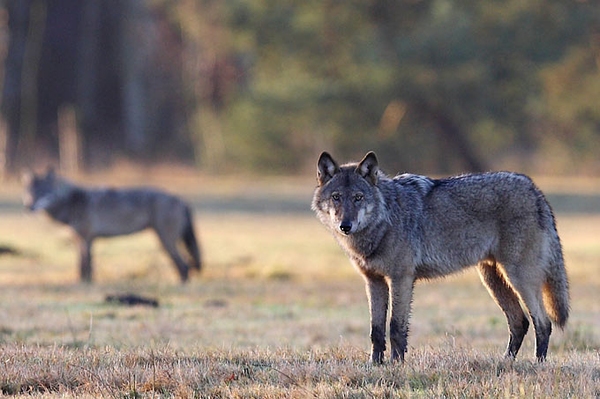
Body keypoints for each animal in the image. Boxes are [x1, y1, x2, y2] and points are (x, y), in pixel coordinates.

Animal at [22, 169, 202, 284]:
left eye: (43, 192)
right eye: (29, 191)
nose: (28, 206)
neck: (71, 202)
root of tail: (181, 200)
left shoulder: (86, 238)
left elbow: (86, 265)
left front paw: (86, 283)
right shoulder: (80, 239)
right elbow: (82, 265)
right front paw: (82, 282)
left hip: (165, 241)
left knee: (184, 265)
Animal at [312, 152, 568, 364]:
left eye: (358, 197)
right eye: (336, 197)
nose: (345, 225)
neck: (385, 220)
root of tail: (535, 190)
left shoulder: (401, 279)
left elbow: (395, 327)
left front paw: (396, 365)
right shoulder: (374, 281)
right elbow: (376, 330)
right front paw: (375, 365)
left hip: (518, 278)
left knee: (542, 322)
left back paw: (538, 364)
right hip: (493, 279)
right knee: (519, 322)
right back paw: (505, 362)